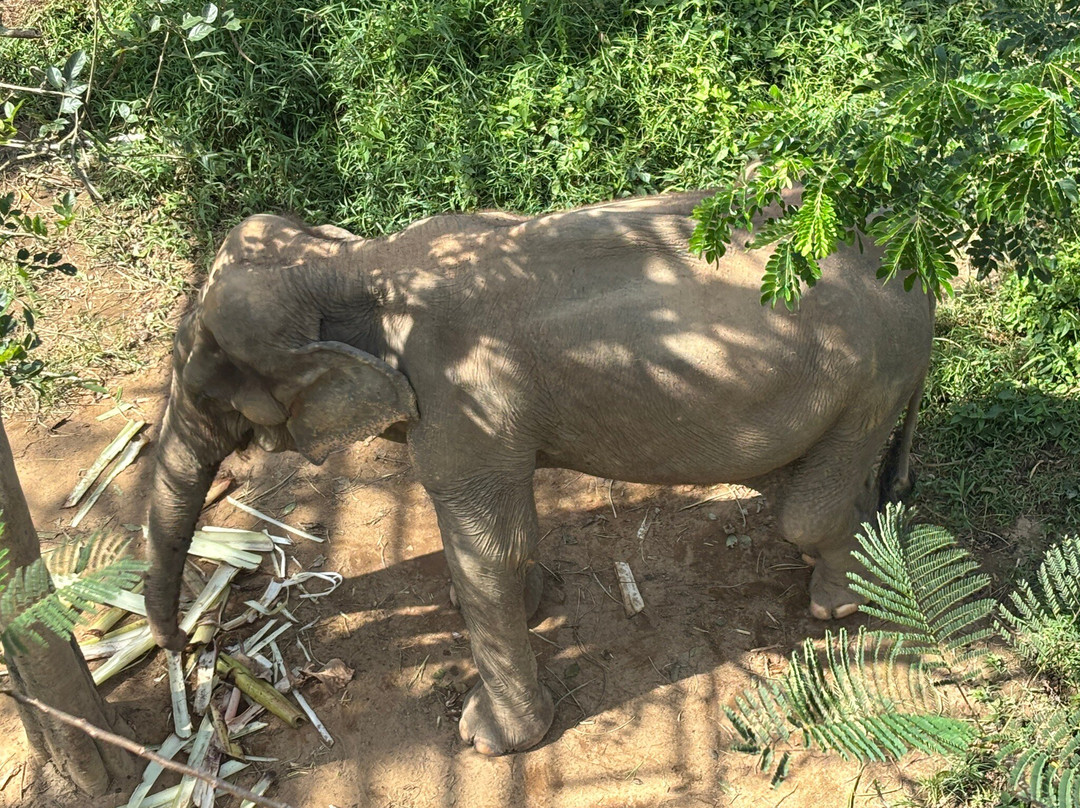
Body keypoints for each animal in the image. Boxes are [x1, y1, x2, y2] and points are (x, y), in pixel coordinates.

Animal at [143, 189, 934, 756]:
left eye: (210, 386)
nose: (189, 647)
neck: (358, 265)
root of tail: (913, 259)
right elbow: (510, 533)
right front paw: (525, 604)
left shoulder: (462, 403)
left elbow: (486, 553)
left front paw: (491, 741)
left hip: (876, 376)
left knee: (806, 512)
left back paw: (839, 605)